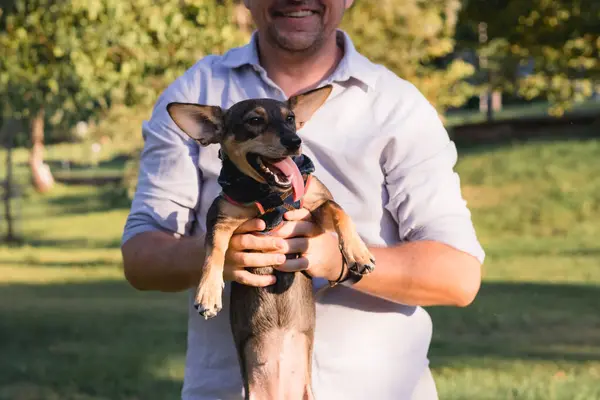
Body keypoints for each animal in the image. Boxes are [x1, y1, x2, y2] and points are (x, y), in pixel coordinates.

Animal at [168, 86, 376, 400]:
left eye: (290, 119)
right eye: (255, 120)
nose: (295, 141)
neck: (269, 194)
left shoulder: (315, 208)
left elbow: (338, 210)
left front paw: (358, 253)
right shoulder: (221, 219)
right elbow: (214, 249)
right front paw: (208, 293)